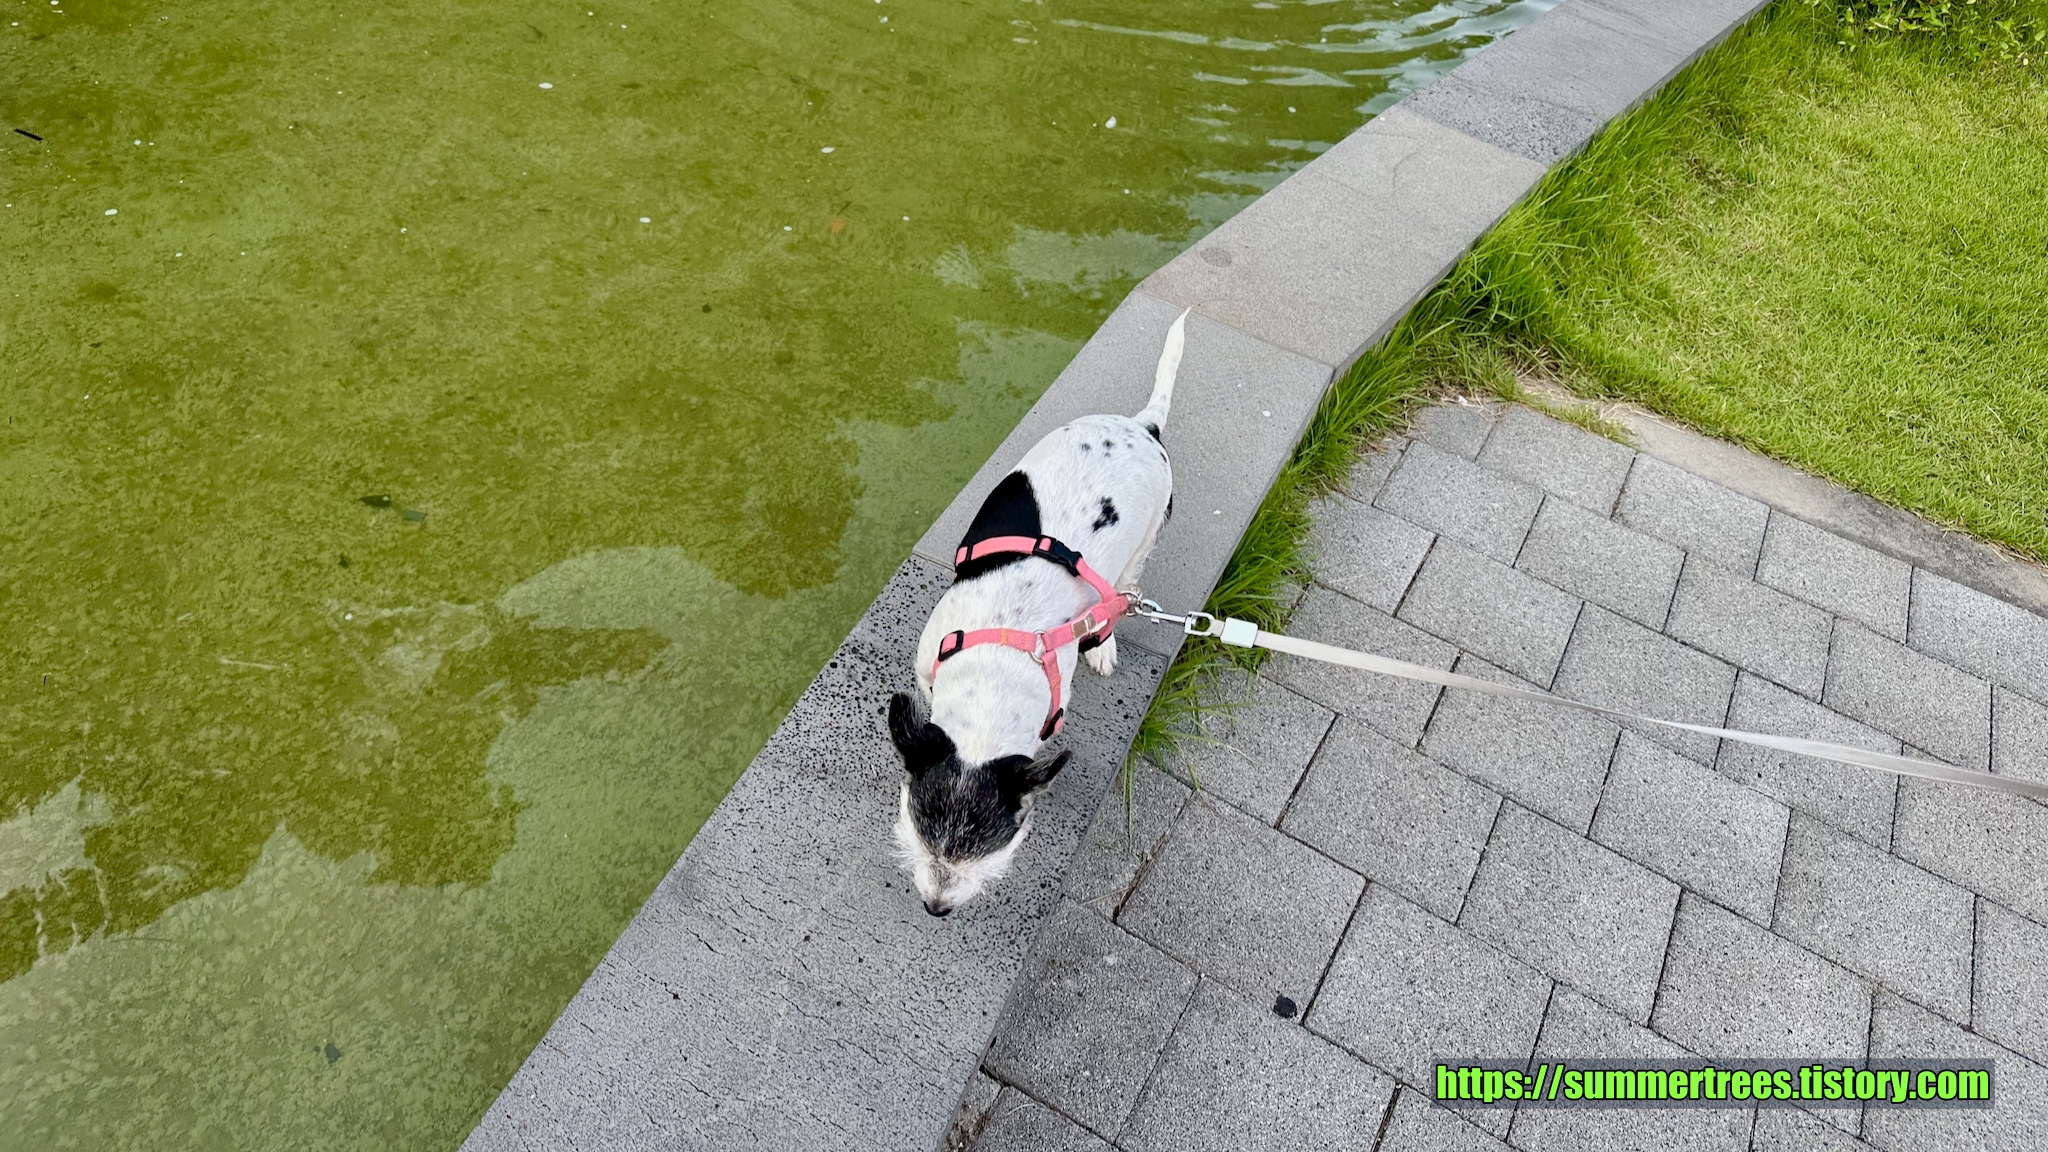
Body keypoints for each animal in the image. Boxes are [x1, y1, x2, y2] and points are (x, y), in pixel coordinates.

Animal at [889, 310, 1188, 916]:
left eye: (992, 847)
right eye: (921, 827)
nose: (936, 907)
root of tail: (1143, 428)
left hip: (1143, 543)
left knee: (1123, 592)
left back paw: (1105, 642)